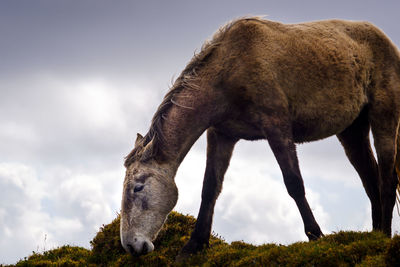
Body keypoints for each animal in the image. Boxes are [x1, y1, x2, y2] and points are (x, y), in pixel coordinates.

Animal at [119, 17, 400, 258]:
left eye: (138, 187)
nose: (131, 245)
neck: (230, 68)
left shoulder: (277, 128)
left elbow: (294, 183)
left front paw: (316, 235)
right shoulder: (221, 135)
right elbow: (209, 188)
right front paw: (193, 245)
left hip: (384, 119)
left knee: (387, 180)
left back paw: (385, 236)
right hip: (352, 131)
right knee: (371, 180)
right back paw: (375, 236)